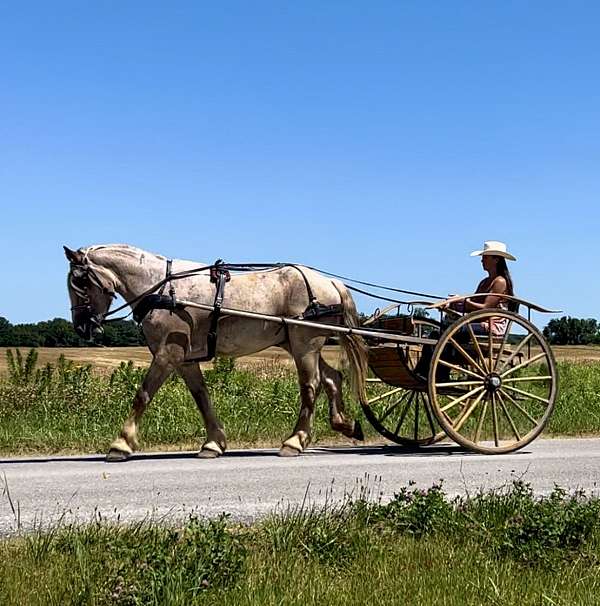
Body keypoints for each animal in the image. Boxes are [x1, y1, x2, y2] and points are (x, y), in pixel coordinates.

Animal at [63, 245, 368, 464]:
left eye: (80, 281)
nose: (81, 327)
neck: (162, 289)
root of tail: (330, 282)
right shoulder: (184, 359)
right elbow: (201, 397)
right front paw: (214, 443)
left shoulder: (167, 353)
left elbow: (143, 395)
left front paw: (121, 444)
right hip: (295, 343)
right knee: (332, 378)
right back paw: (345, 424)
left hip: (305, 343)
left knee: (311, 385)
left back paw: (294, 441)